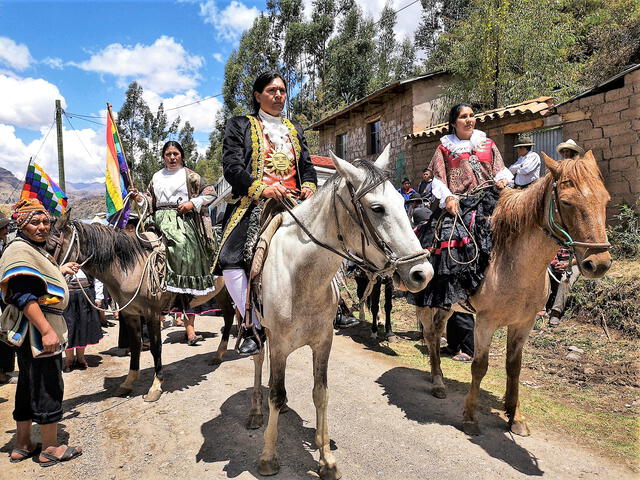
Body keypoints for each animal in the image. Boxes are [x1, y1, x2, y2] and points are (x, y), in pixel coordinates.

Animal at [248, 147, 432, 480]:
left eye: (403, 203)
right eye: (377, 208)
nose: (423, 273)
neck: (301, 277)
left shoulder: (323, 343)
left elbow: (320, 393)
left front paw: (326, 459)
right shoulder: (279, 345)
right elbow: (276, 393)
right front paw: (268, 456)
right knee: (257, 361)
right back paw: (256, 411)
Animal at [418, 152, 612, 436]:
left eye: (605, 199)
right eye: (566, 202)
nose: (598, 264)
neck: (514, 264)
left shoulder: (524, 323)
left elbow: (514, 367)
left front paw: (515, 416)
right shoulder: (485, 322)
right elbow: (480, 366)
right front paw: (470, 417)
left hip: (447, 304)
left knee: (438, 329)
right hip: (426, 301)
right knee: (431, 335)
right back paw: (437, 383)